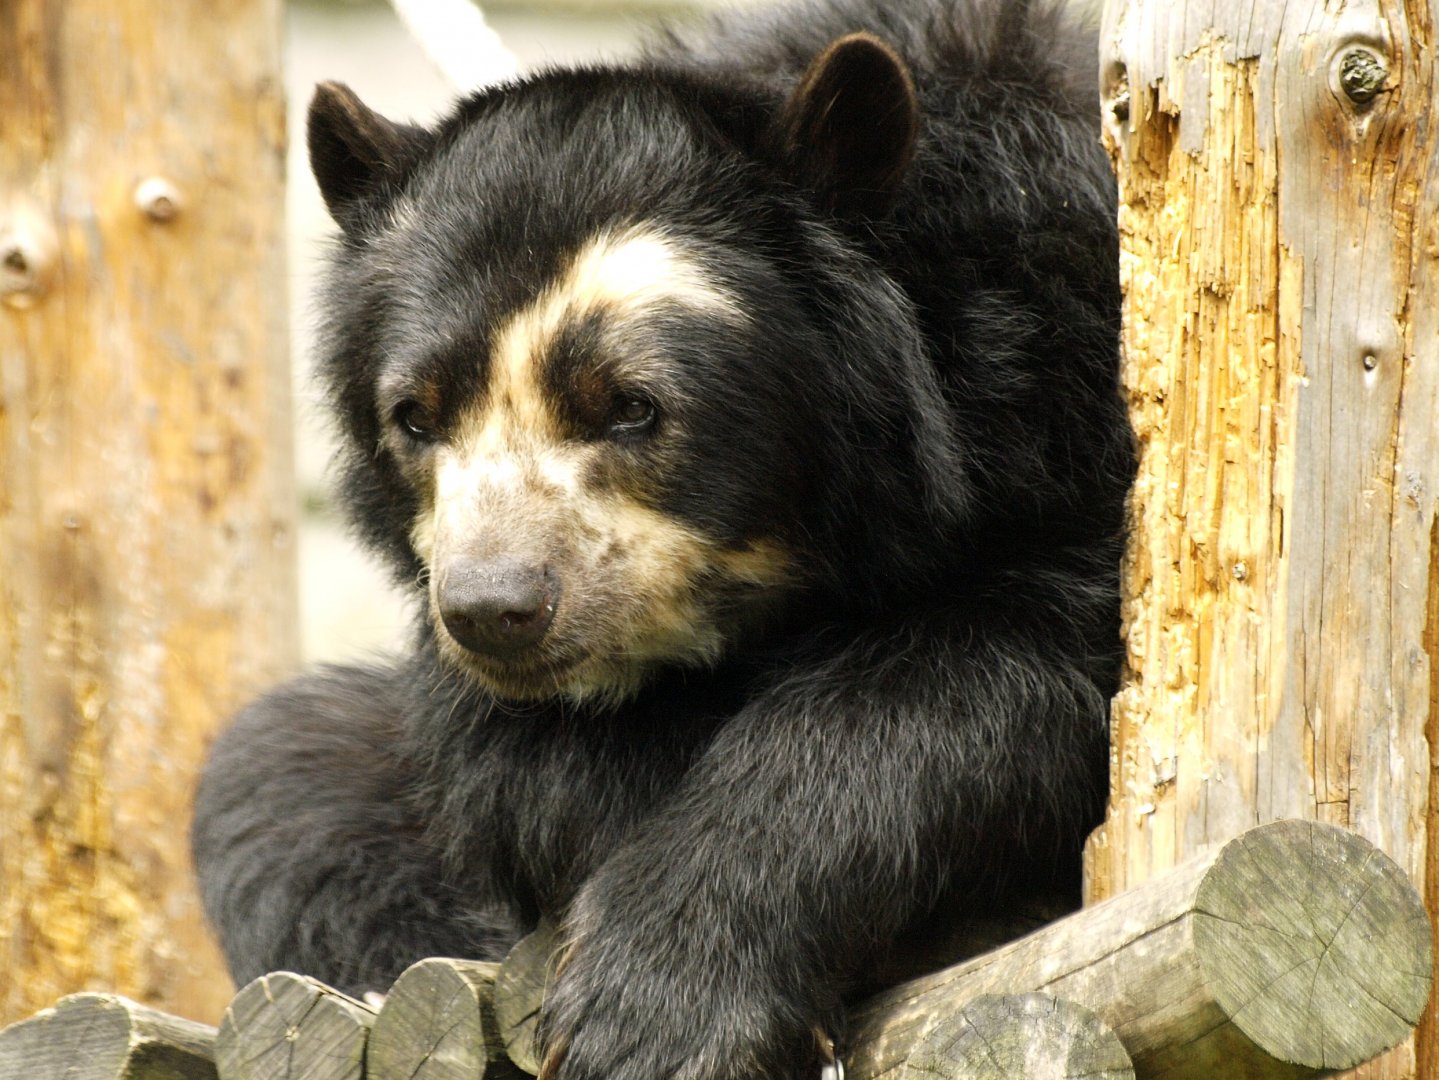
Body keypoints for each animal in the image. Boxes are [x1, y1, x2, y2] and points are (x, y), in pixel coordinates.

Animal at [190, 0, 1133, 1076]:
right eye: (415, 417)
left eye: (632, 407)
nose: (494, 609)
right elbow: (522, 774)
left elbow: (971, 681)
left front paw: (654, 1017)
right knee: (278, 775)